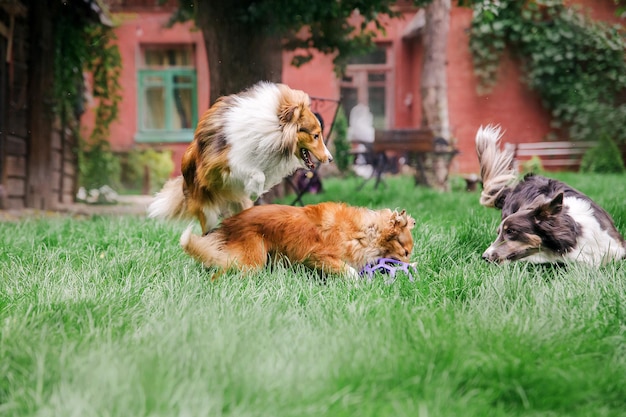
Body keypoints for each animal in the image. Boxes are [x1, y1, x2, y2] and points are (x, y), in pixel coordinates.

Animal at [147, 79, 332, 232]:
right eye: (316, 135)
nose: (330, 159)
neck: (270, 131)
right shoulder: (222, 164)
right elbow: (255, 174)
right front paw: (254, 191)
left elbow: (261, 174)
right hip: (207, 208)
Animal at [180, 202, 414, 278]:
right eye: (406, 252)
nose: (413, 268)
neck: (364, 231)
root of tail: (229, 224)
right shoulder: (319, 255)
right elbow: (350, 272)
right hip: (252, 261)